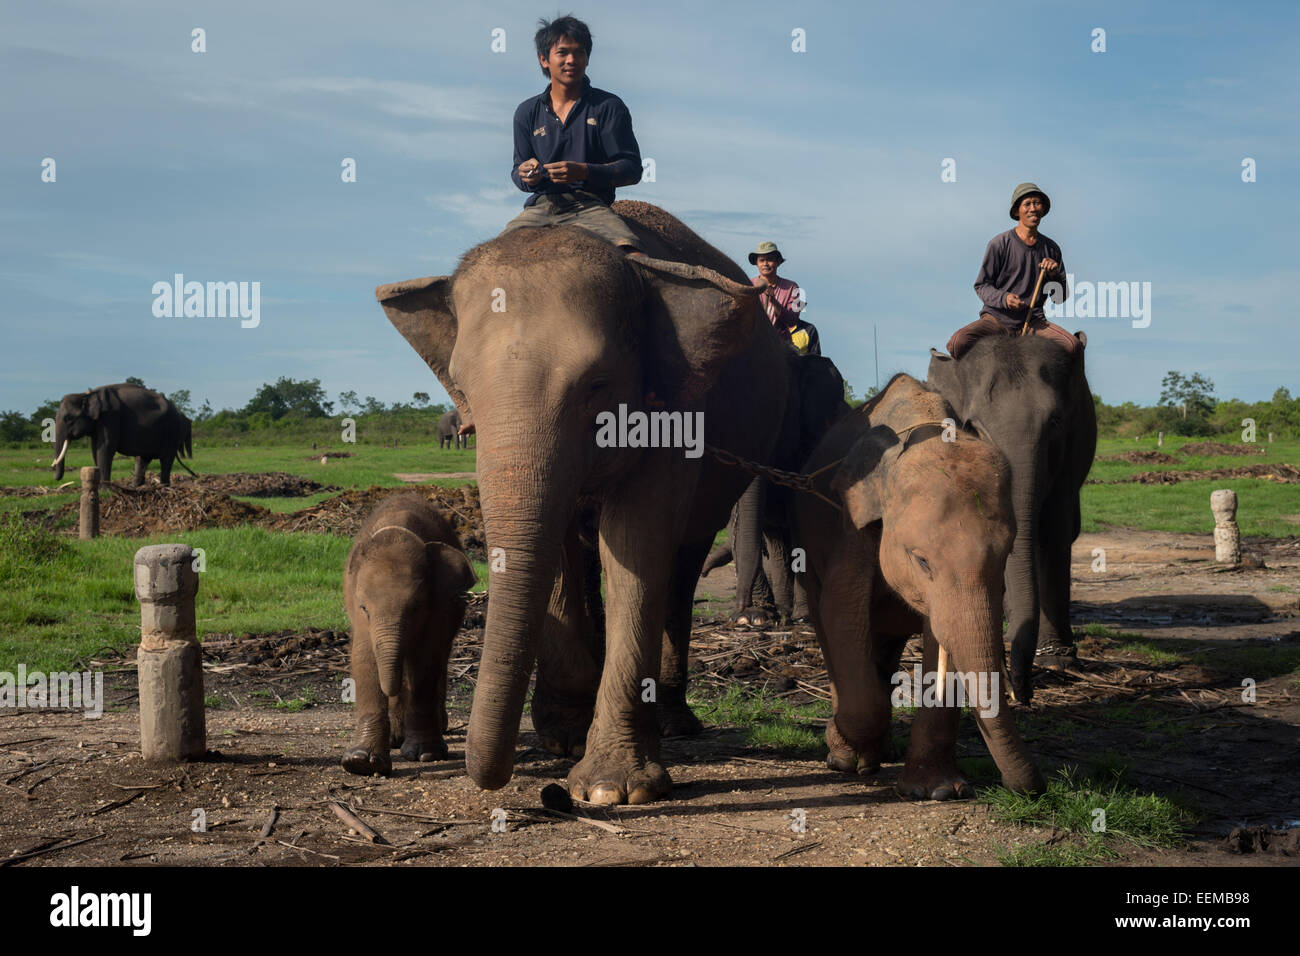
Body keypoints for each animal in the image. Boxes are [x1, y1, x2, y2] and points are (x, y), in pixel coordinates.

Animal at [52, 382, 192, 486]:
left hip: (172, 431)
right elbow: (95, 449)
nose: (53, 470)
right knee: (142, 459)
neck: (87, 394)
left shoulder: (110, 417)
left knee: (166, 460)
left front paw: (104, 489)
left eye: (68, 419)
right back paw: (135, 486)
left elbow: (105, 448)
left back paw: (163, 486)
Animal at [340, 494, 478, 780]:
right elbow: (364, 658)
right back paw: (396, 737)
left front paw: (426, 754)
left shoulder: (440, 604)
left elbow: (424, 660)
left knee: (440, 659)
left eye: (415, 607)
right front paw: (361, 762)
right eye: (364, 608)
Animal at [377, 201, 790, 806]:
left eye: (597, 384)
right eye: (461, 387)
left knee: (682, 562)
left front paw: (609, 789)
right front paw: (565, 740)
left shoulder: (673, 408)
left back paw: (672, 722)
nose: (492, 777)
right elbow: (557, 552)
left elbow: (636, 546)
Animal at [790, 374, 1045, 801]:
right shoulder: (853, 523)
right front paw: (839, 744)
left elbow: (940, 638)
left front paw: (937, 791)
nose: (1032, 790)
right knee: (827, 624)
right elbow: (841, 613)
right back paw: (852, 758)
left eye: (1007, 554)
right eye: (922, 561)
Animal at [930, 335, 1092, 702]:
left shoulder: (1072, 448)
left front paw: (1059, 662)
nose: (1023, 691)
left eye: (1056, 422)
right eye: (972, 426)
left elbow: (1055, 531)